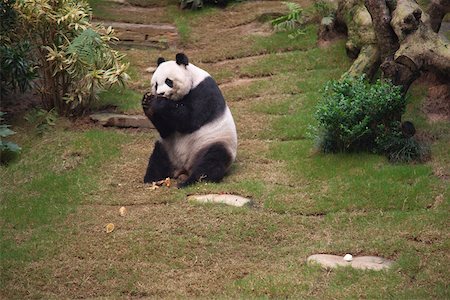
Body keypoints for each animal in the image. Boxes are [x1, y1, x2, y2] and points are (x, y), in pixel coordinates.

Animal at [142, 52, 237, 186]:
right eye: (155, 84)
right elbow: (166, 130)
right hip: (167, 148)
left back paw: (189, 182)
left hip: (213, 141)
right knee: (157, 160)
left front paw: (157, 102)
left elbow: (190, 120)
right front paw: (147, 101)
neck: (193, 78)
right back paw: (152, 179)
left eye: (168, 81)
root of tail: (184, 168)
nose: (160, 93)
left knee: (211, 162)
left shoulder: (204, 91)